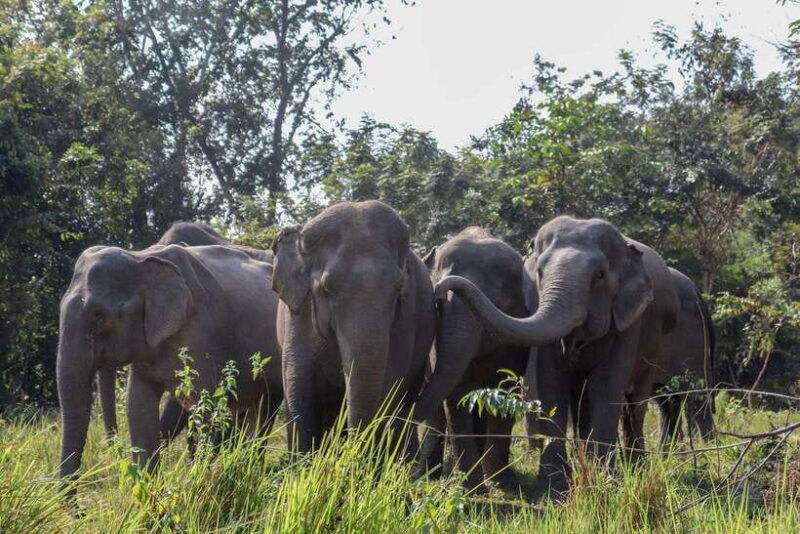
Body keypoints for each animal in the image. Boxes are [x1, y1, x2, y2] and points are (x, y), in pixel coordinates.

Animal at [57, 243, 283, 486]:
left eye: (98, 315)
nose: (76, 502)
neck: (140, 257)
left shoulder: (201, 333)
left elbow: (206, 404)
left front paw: (198, 483)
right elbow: (138, 406)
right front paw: (147, 490)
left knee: (264, 412)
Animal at [272, 200, 435, 454]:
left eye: (399, 288)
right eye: (326, 289)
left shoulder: (406, 316)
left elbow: (390, 387)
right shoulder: (298, 315)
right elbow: (299, 391)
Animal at [414, 227, 529, 489]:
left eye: (497, 302)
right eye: (438, 304)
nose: (440, 288)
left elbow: (505, 389)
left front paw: (502, 484)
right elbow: (456, 394)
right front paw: (470, 486)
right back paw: (424, 475)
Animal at [434, 216, 679, 499]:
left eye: (599, 275)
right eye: (539, 272)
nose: (439, 288)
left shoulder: (629, 322)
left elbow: (607, 386)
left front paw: (603, 485)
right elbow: (552, 384)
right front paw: (554, 491)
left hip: (654, 342)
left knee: (635, 404)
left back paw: (635, 468)